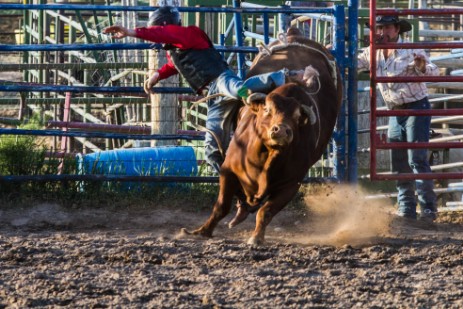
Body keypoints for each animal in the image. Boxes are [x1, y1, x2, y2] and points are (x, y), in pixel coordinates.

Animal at [183, 28, 342, 245]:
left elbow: (266, 212)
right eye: (267, 109)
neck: (267, 156)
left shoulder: (291, 184)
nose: (281, 130)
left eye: (297, 116)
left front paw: (256, 237)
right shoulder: (228, 170)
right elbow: (221, 206)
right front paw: (202, 231)